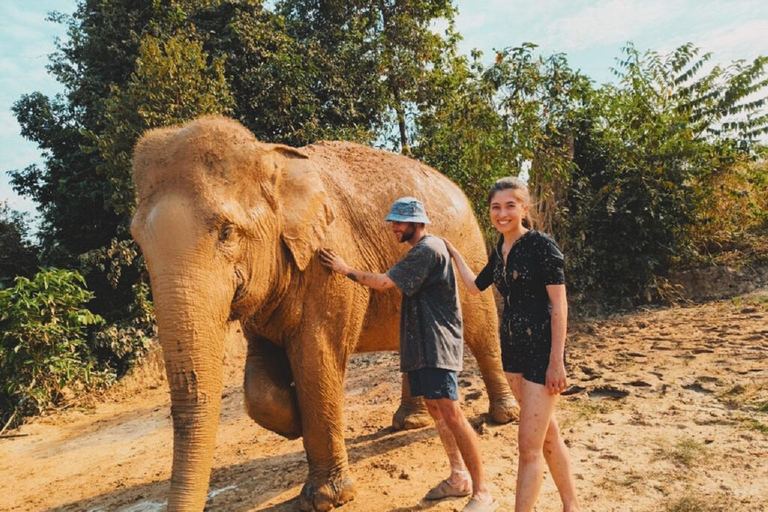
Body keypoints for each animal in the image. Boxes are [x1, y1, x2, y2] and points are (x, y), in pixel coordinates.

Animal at [130, 117, 516, 512]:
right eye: (138, 240)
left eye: (227, 232)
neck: (271, 157)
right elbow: (258, 383)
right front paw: (292, 420)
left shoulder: (326, 264)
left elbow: (317, 358)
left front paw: (327, 499)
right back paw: (409, 422)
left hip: (468, 248)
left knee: (481, 329)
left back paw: (503, 416)